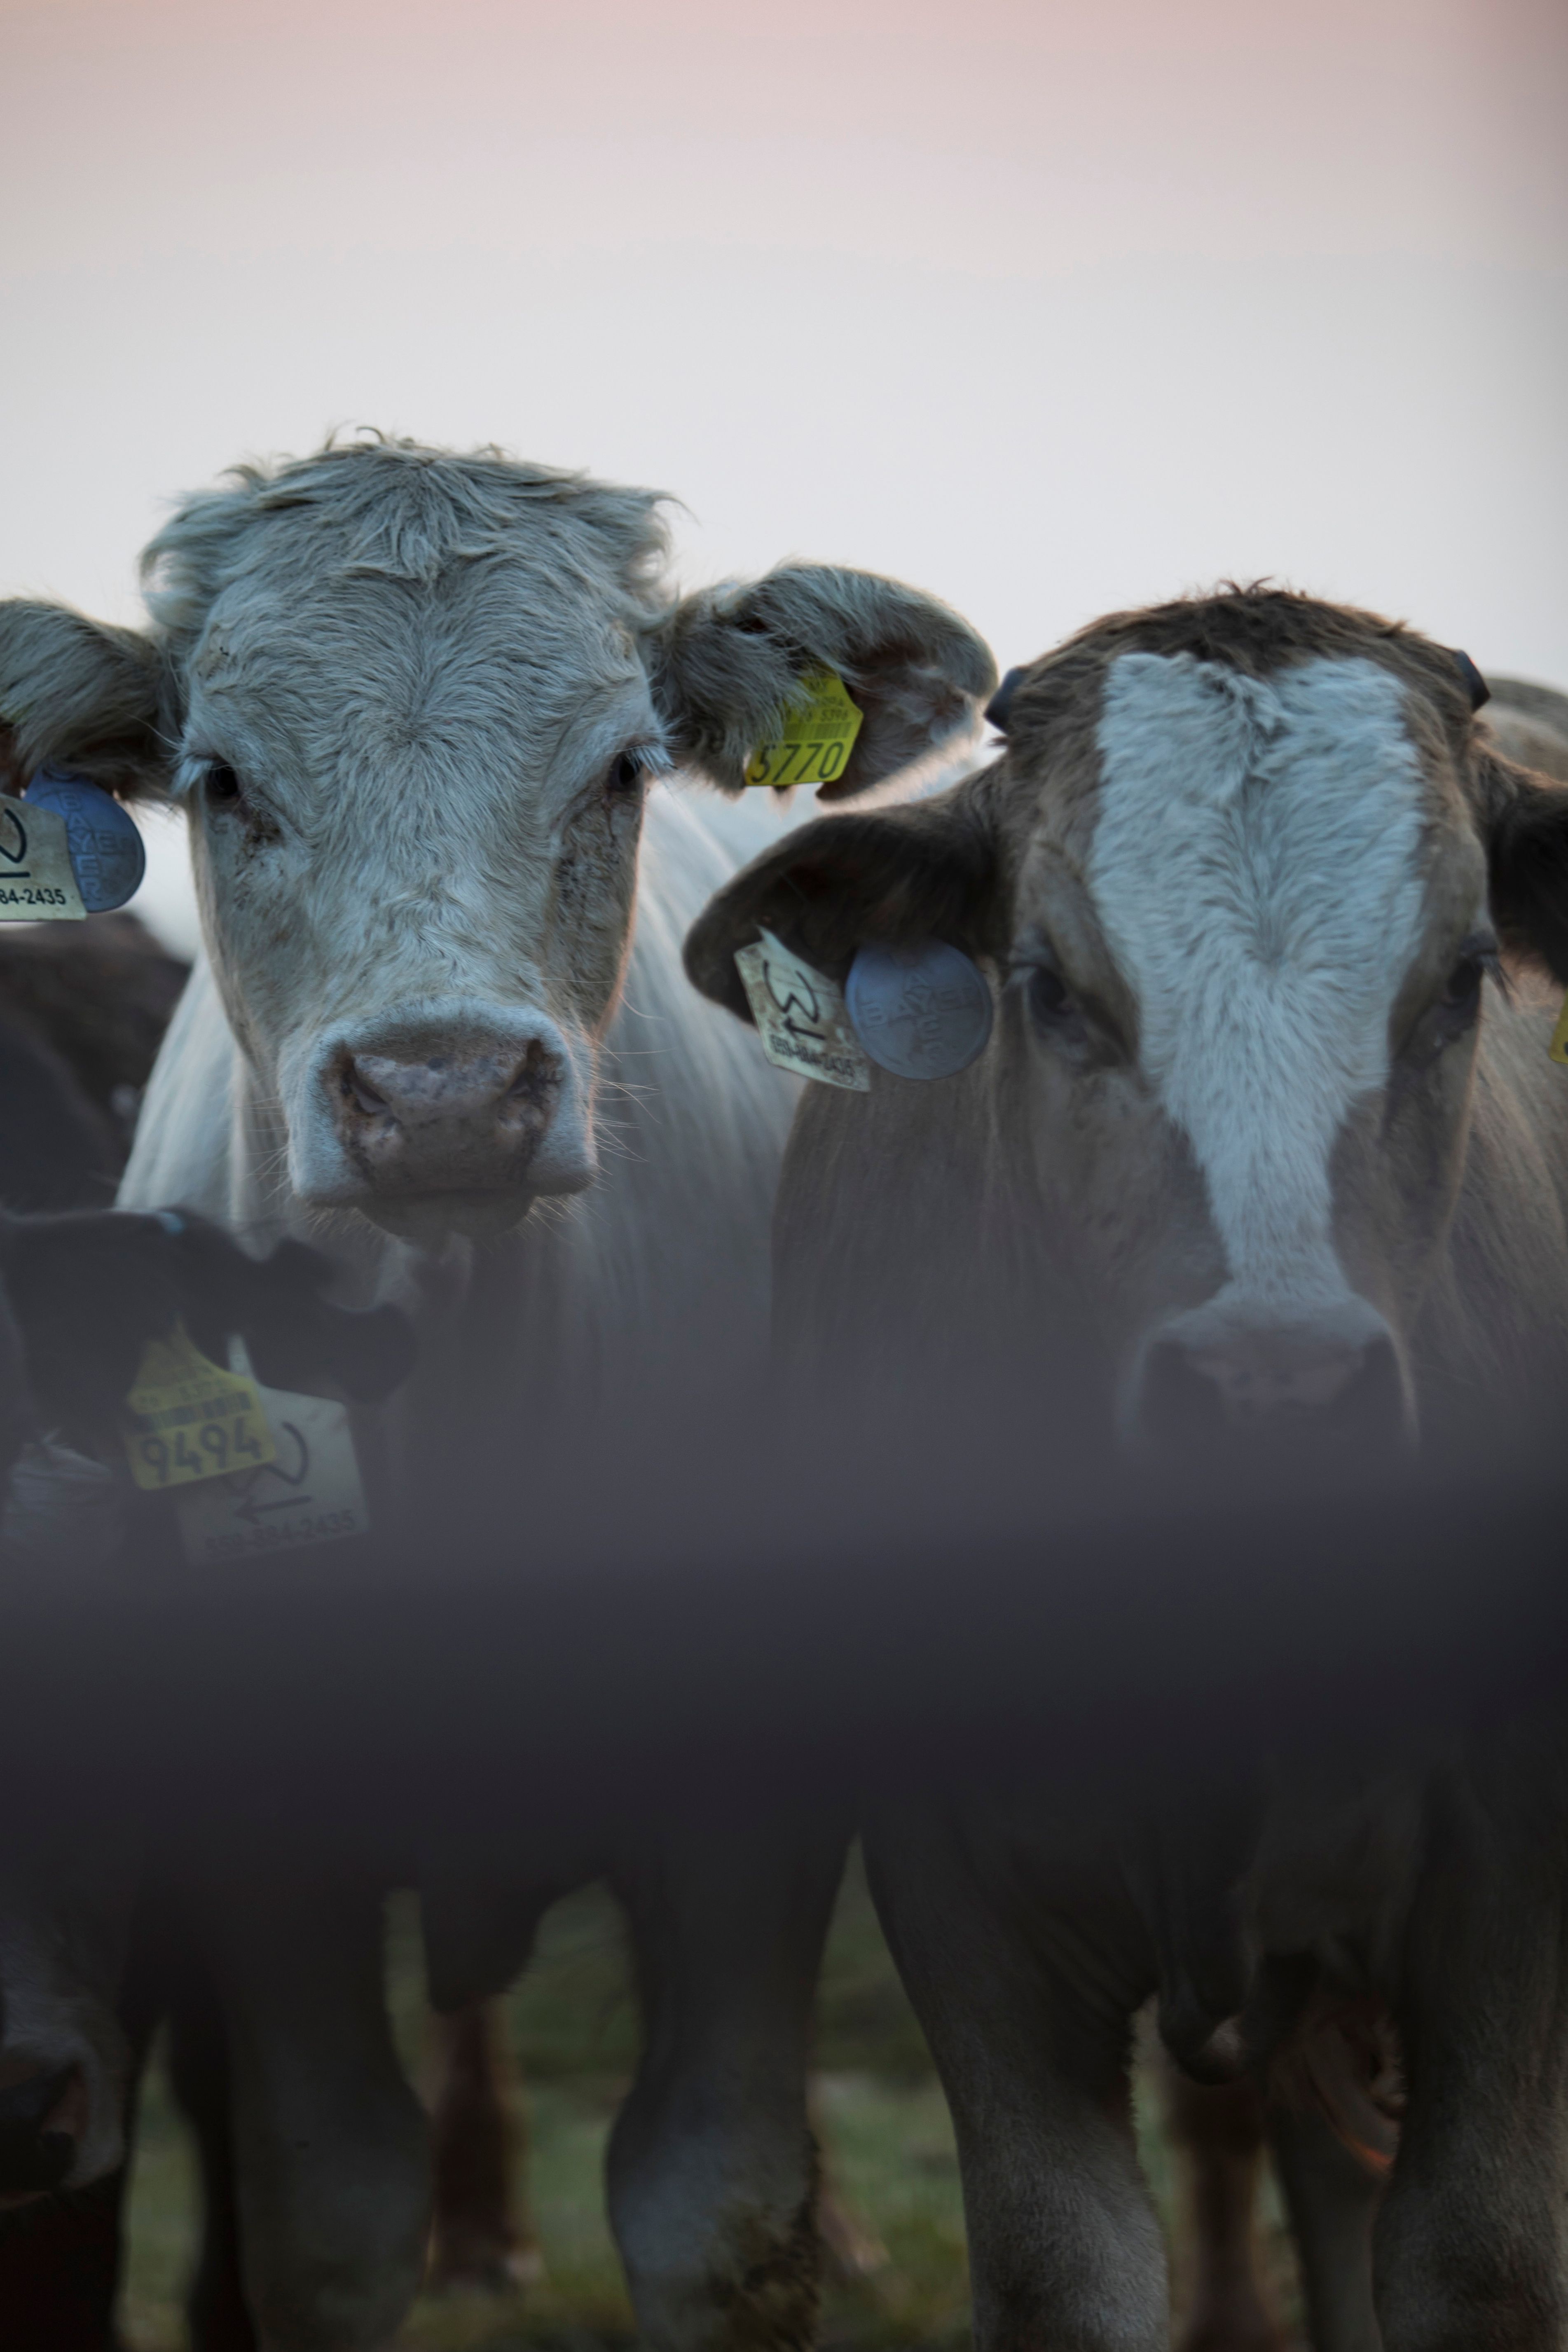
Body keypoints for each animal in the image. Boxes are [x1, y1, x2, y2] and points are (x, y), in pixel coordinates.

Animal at [0, 432, 995, 2352]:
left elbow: (710, 2206)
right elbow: (328, 2214)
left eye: (620, 766)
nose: (443, 1093)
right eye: (219, 780)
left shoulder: (743, 1828)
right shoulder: (268, 1867)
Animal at [683, 588, 1568, 2352]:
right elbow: (1063, 2264)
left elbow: (1477, 2258)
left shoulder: (1507, 1876)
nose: (1273, 1397)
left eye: (1458, 980)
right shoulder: (963, 1889)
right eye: (1046, 985)